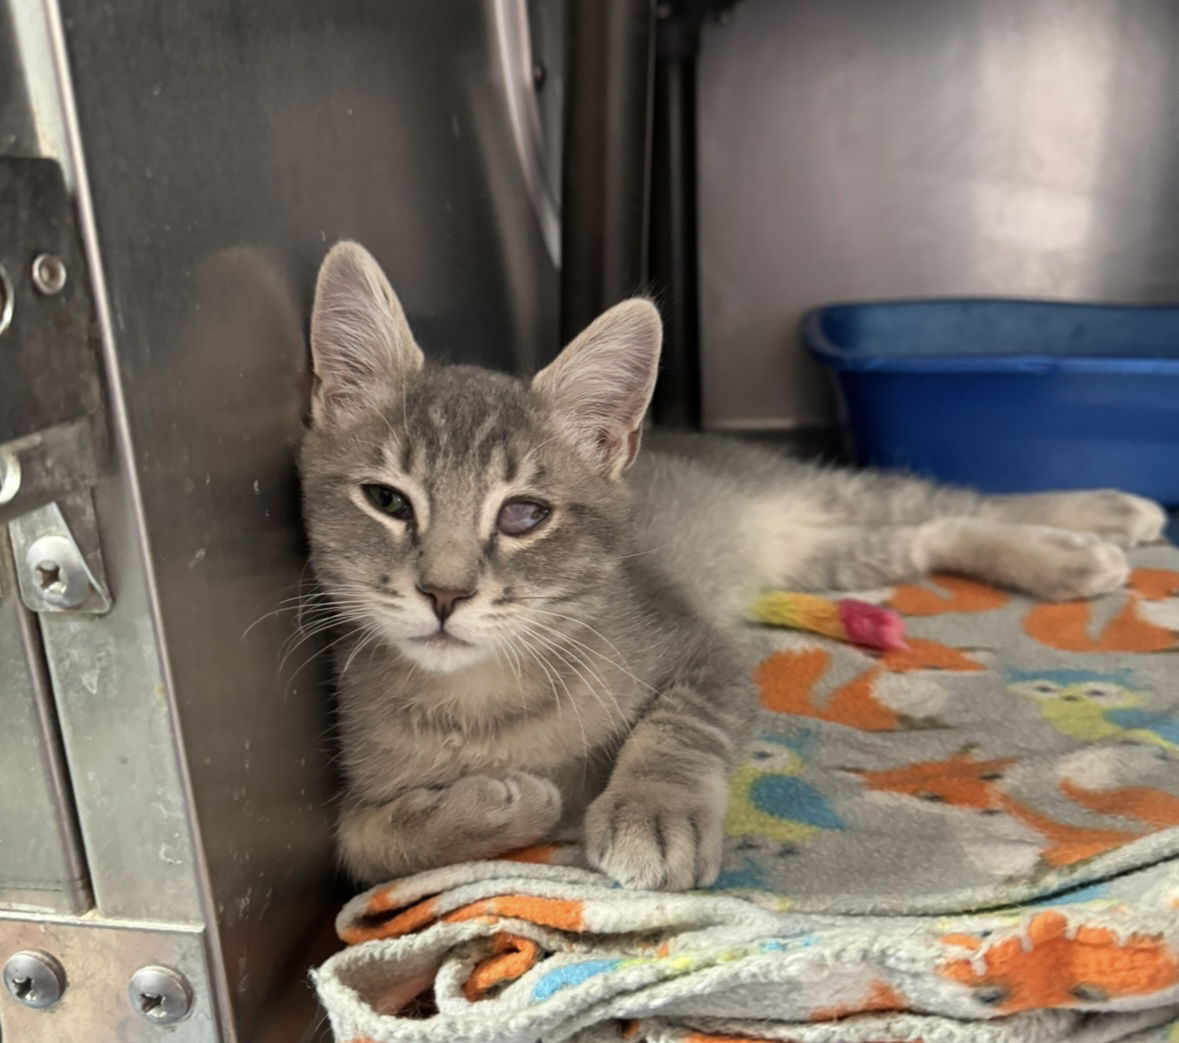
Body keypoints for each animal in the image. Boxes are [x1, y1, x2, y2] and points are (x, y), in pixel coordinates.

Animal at [299, 241, 1164, 886]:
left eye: (522, 515)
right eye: (387, 499)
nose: (443, 592)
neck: (478, 699)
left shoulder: (698, 649)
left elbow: (677, 726)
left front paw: (654, 810)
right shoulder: (362, 783)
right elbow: (361, 843)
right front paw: (497, 807)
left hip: (836, 498)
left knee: (953, 497)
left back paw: (1096, 521)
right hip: (835, 552)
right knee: (934, 531)